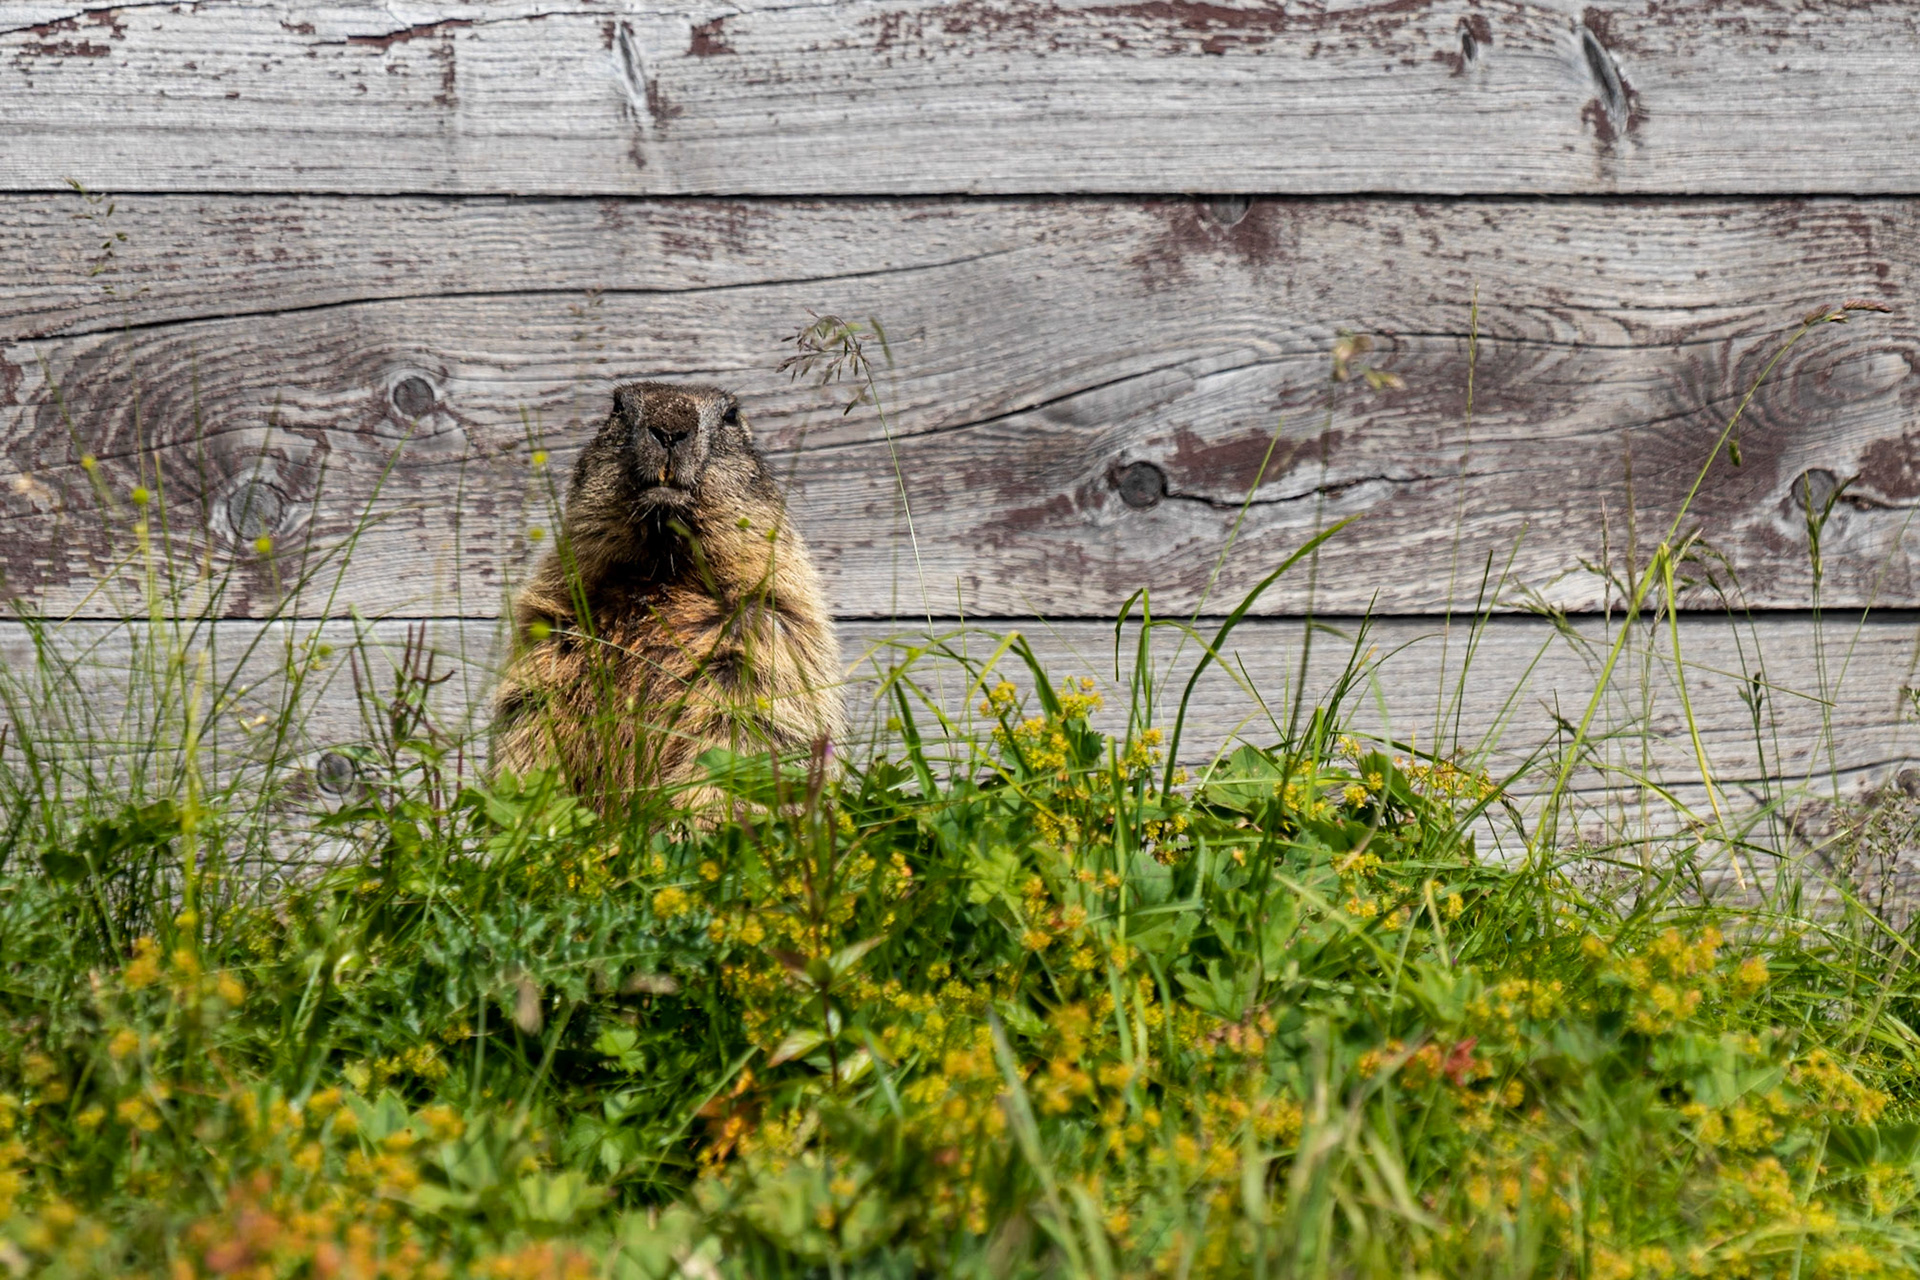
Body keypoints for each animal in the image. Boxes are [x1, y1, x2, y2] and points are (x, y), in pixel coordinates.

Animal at [491, 382, 844, 812]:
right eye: (617, 407)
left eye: (731, 415)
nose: (669, 430)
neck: (660, 573)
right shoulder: (548, 630)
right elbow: (529, 716)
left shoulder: (769, 634)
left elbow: (745, 734)